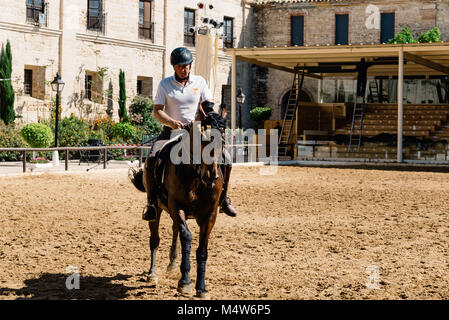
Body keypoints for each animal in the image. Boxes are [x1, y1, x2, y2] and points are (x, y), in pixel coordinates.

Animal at [130, 106, 228, 298]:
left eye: (222, 140)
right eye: (202, 140)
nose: (211, 176)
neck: (196, 177)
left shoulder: (210, 215)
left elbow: (202, 250)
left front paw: (201, 288)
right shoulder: (178, 208)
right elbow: (187, 237)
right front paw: (185, 282)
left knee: (174, 230)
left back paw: (172, 263)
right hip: (156, 209)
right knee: (155, 239)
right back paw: (152, 274)